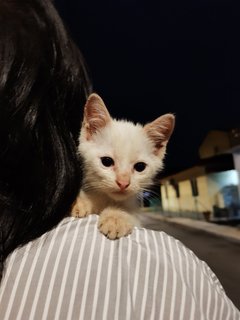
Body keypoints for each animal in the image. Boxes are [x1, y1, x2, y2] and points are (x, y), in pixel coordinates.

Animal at [71, 92, 174, 238]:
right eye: (107, 161)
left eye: (140, 167)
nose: (123, 183)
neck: (106, 199)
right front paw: (80, 202)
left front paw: (116, 217)